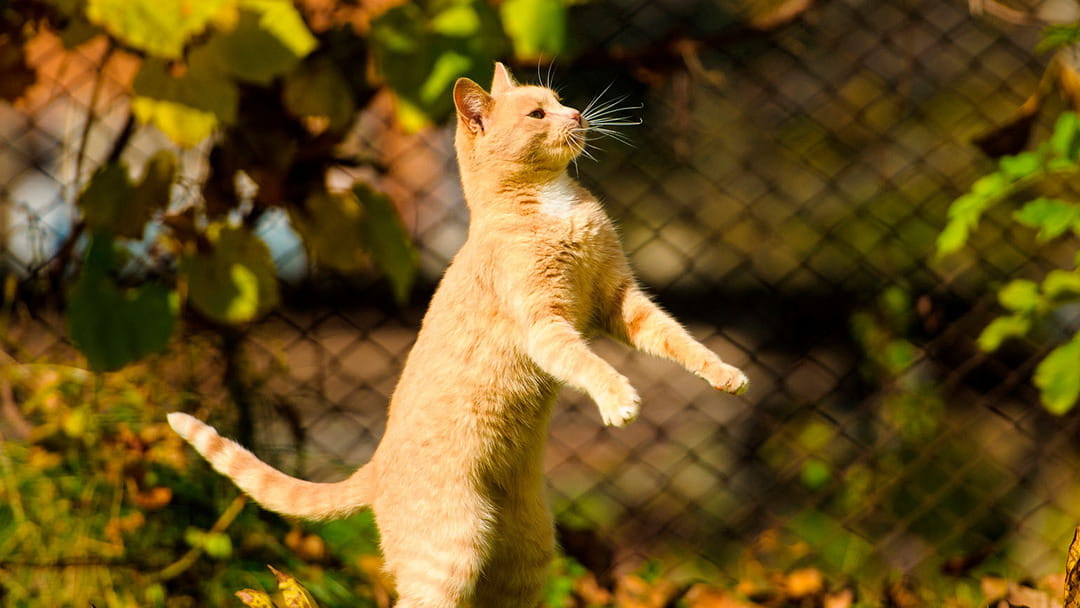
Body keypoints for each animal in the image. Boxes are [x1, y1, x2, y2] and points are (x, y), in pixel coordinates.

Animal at [168, 63, 747, 608]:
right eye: (539, 113)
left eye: (559, 99)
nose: (578, 114)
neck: (550, 202)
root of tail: (375, 466)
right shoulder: (546, 326)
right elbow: (590, 364)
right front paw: (618, 399)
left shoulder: (620, 303)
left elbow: (678, 339)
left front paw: (724, 374)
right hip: (452, 551)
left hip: (527, 555)